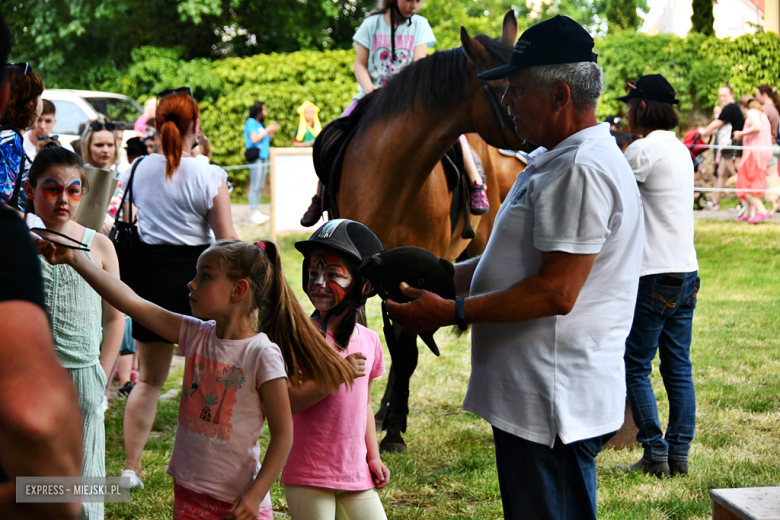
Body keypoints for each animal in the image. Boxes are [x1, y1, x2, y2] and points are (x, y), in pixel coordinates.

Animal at [320, 12, 528, 450]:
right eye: (504, 86)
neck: (395, 174)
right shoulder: (372, 273)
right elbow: (377, 340)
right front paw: (381, 416)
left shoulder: (413, 272)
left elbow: (407, 351)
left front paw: (396, 428)